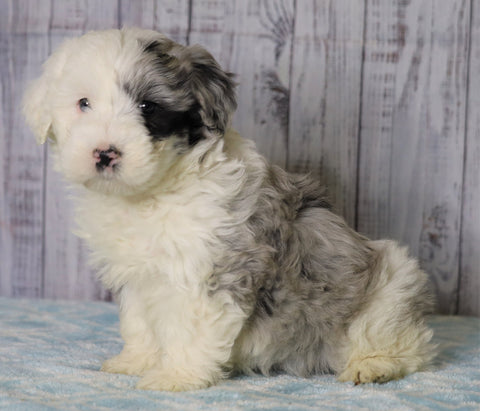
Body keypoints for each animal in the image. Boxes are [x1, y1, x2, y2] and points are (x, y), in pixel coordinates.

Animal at [21, 27, 436, 392]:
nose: (105, 153)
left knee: (405, 343)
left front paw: (176, 377)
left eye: (147, 107)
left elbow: (189, 327)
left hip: (390, 284)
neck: (152, 192)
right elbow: (140, 323)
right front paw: (136, 361)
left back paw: (373, 365)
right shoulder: (140, 277)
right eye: (83, 104)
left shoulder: (212, 269)